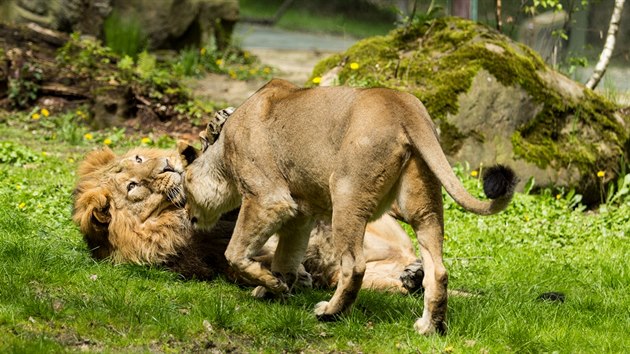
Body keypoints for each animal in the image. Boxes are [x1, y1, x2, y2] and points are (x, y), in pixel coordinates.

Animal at [71, 147, 428, 294]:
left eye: (139, 157)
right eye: (133, 187)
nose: (166, 166)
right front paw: (294, 277)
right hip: (359, 274)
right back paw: (413, 277)